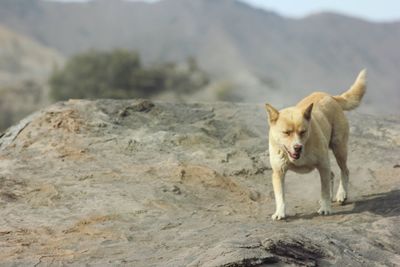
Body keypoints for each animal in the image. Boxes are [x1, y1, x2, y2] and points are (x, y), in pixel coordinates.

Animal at [264, 70, 368, 221]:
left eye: (303, 131)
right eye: (286, 132)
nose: (297, 147)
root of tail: (330, 96)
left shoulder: (323, 165)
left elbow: (324, 190)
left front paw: (325, 208)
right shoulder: (278, 173)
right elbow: (280, 196)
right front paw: (280, 212)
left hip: (339, 149)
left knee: (345, 171)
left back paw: (341, 194)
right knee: (332, 174)